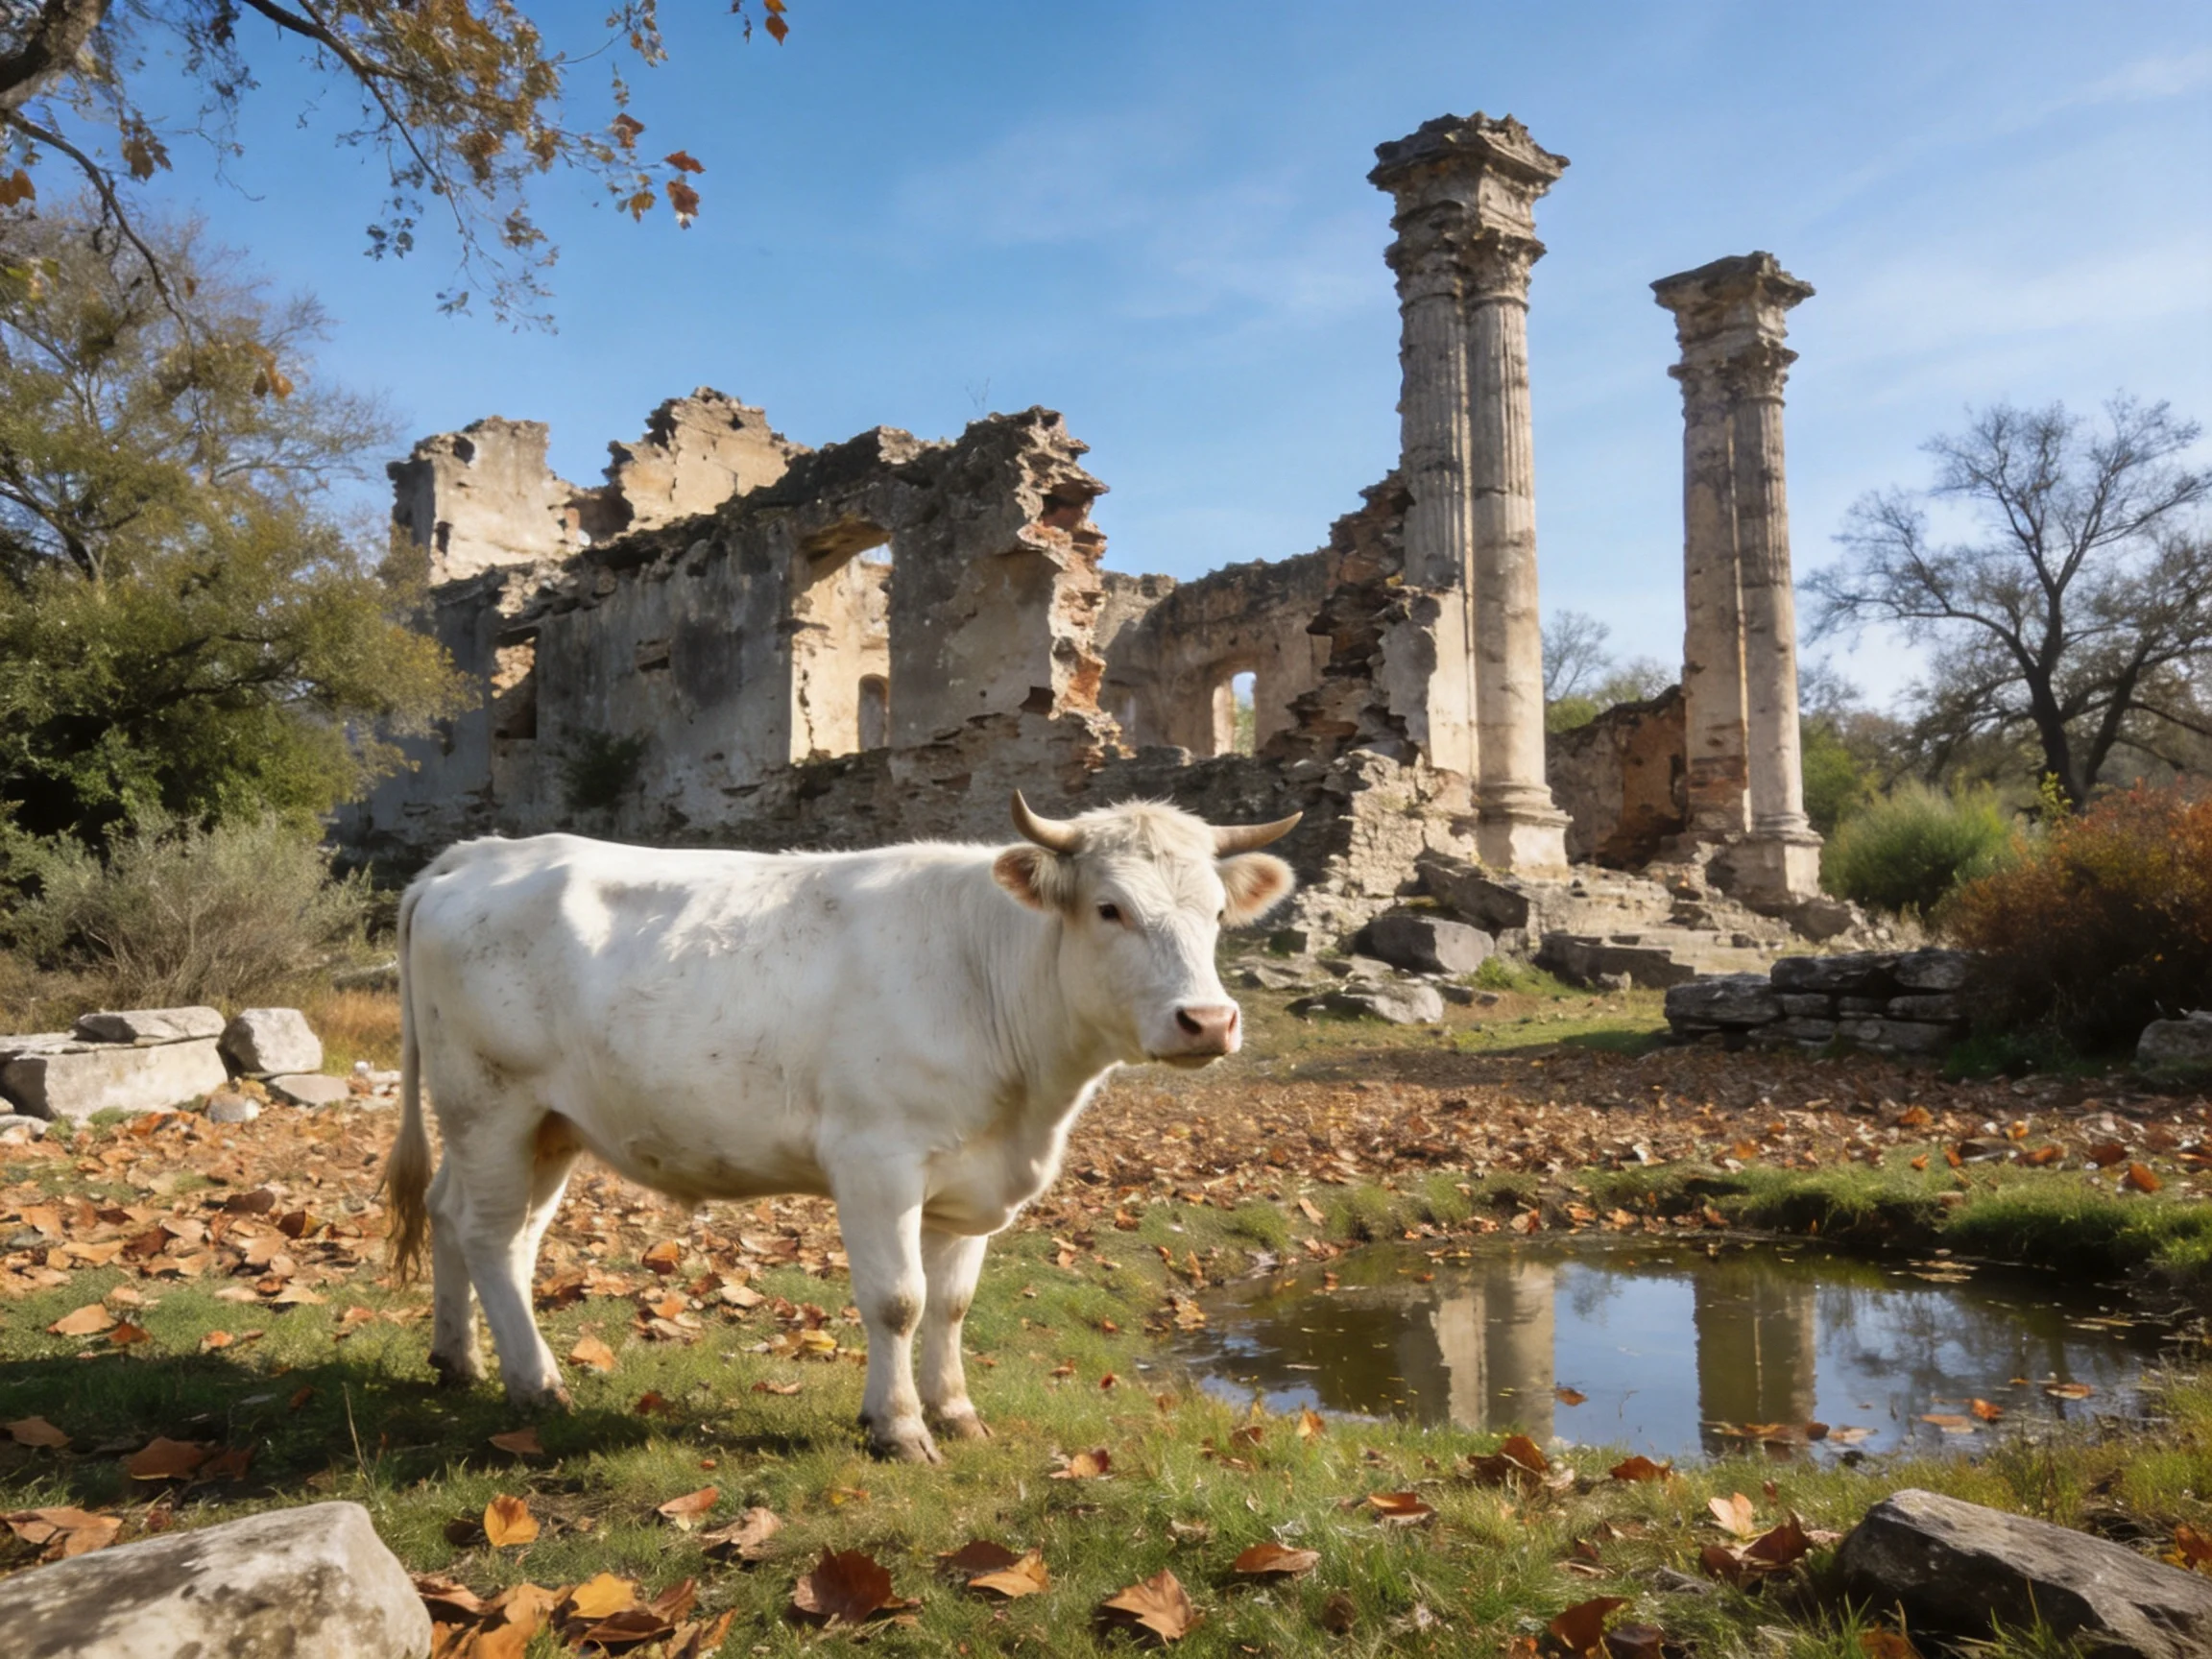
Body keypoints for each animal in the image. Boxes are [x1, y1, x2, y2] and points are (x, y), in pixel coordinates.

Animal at [383, 793, 1298, 1462]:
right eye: (1110, 909)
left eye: (1218, 914)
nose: (1208, 1021)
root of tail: (480, 853)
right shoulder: (875, 1159)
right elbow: (898, 1300)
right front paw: (899, 1428)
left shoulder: (969, 1180)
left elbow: (953, 1303)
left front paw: (955, 1410)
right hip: (489, 1100)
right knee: (489, 1232)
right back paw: (535, 1383)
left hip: (549, 1122)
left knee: (473, 1221)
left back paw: (460, 1359)